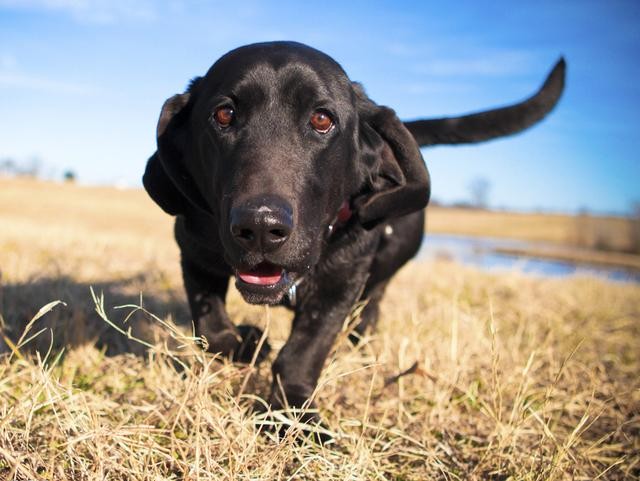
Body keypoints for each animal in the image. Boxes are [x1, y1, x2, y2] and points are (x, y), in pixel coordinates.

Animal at [142, 40, 564, 424]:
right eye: (224, 113)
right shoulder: (196, 252)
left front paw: (295, 413)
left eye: (322, 119)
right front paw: (245, 343)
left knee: (369, 312)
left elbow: (302, 354)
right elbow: (210, 325)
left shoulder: (340, 285)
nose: (260, 226)